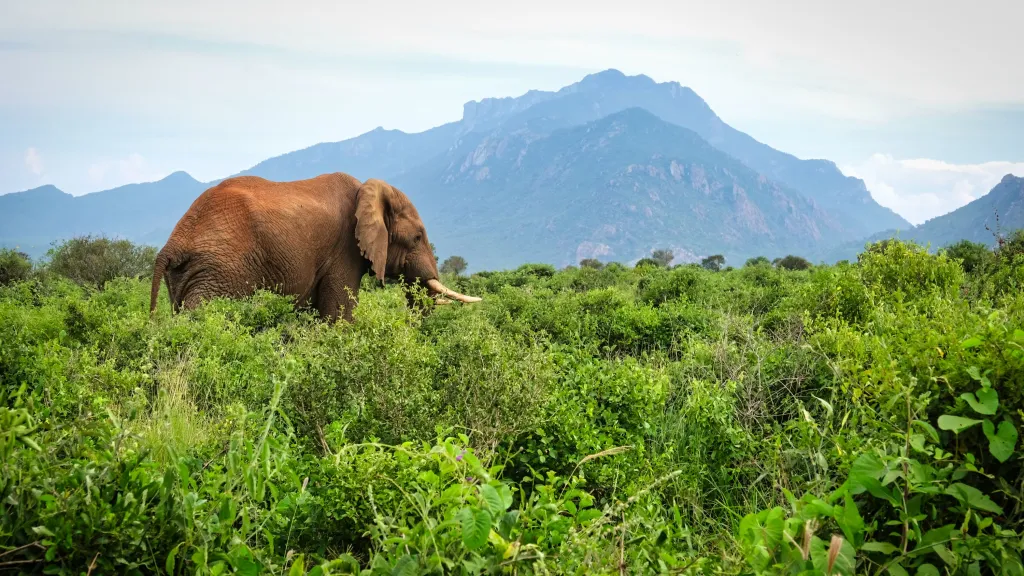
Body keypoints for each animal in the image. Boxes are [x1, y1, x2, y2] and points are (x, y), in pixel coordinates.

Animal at [147, 170, 479, 323]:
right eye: (418, 237)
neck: (366, 190)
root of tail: (173, 244)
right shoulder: (344, 250)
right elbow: (339, 315)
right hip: (219, 272)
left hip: (187, 275)